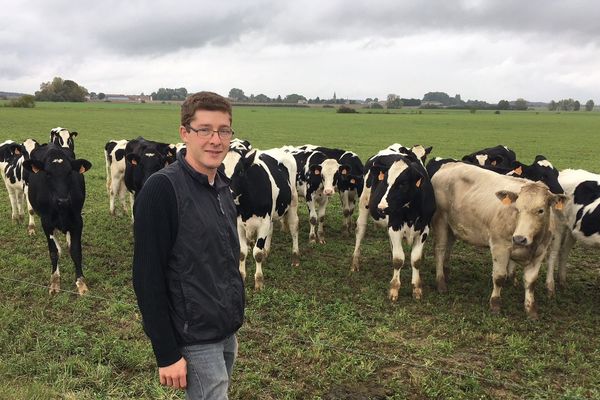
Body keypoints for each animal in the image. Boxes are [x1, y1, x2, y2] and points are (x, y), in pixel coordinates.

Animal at [23, 144, 92, 294]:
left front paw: (81, 283)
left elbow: (76, 251)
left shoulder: (77, 221)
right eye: (48, 174)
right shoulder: (46, 223)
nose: (63, 200)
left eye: (70, 173)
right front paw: (55, 281)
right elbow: (53, 252)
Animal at [232, 148, 302, 290]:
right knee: (271, 229)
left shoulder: (263, 222)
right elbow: (242, 252)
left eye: (240, 171)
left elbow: (257, 253)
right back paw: (267, 252)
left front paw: (259, 281)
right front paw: (242, 275)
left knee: (294, 227)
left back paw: (295, 256)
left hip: (293, 200)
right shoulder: (238, 224)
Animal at [352, 144, 436, 300]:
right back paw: (355, 263)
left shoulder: (424, 229)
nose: (381, 207)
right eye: (385, 182)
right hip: (364, 205)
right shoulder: (395, 226)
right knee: (360, 231)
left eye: (402, 184)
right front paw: (394, 289)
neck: (411, 210)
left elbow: (416, 260)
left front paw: (417, 289)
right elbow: (398, 259)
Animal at [428, 161, 564, 318]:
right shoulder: (500, 246)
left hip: (452, 226)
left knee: (448, 248)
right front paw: (495, 305)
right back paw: (441, 282)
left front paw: (531, 310)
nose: (519, 239)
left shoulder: (540, 252)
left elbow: (531, 282)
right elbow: (499, 277)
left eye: (540, 210)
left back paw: (446, 273)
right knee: (440, 250)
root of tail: (449, 165)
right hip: (440, 220)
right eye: (517, 209)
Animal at [548, 167, 600, 296]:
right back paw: (550, 287)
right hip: (558, 224)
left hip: (572, 230)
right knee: (554, 253)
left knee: (564, 252)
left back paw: (562, 282)